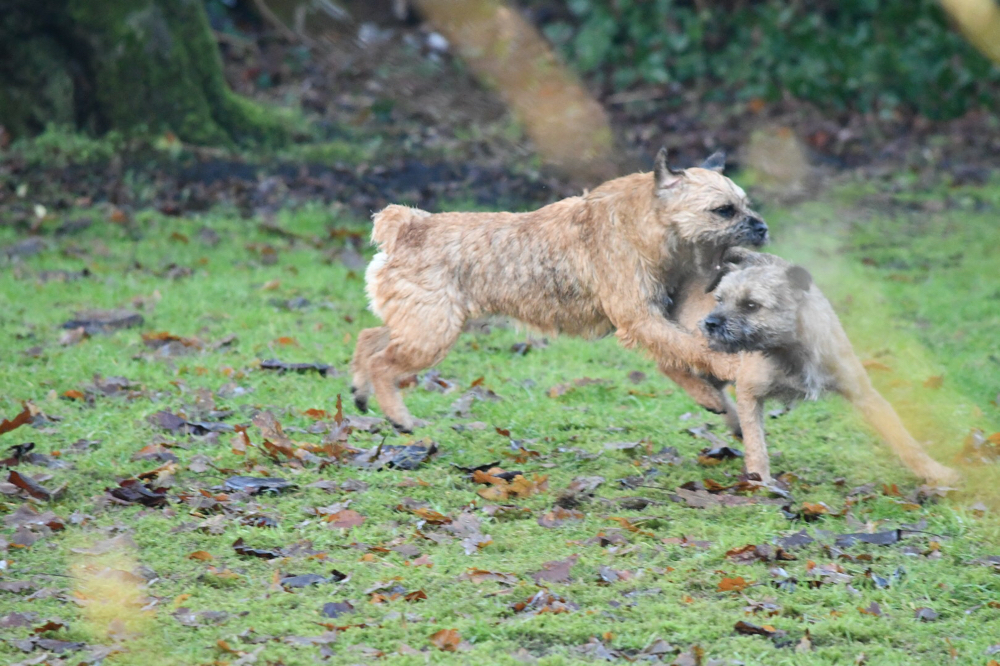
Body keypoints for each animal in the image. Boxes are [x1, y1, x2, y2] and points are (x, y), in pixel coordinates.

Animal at [352, 150, 764, 430]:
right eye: (723, 210)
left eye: (746, 204)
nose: (762, 227)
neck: (643, 224)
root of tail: (407, 226)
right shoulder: (641, 319)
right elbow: (695, 350)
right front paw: (729, 367)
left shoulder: (655, 318)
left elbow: (681, 357)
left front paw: (713, 398)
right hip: (432, 333)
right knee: (382, 362)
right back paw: (400, 417)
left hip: (425, 324)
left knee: (369, 337)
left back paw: (360, 390)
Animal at [668, 248, 956, 482]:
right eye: (719, 299)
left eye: (751, 305)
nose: (710, 323)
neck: (791, 349)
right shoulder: (750, 392)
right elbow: (756, 443)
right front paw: (760, 479)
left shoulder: (864, 393)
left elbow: (904, 438)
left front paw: (935, 471)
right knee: (674, 364)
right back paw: (706, 396)